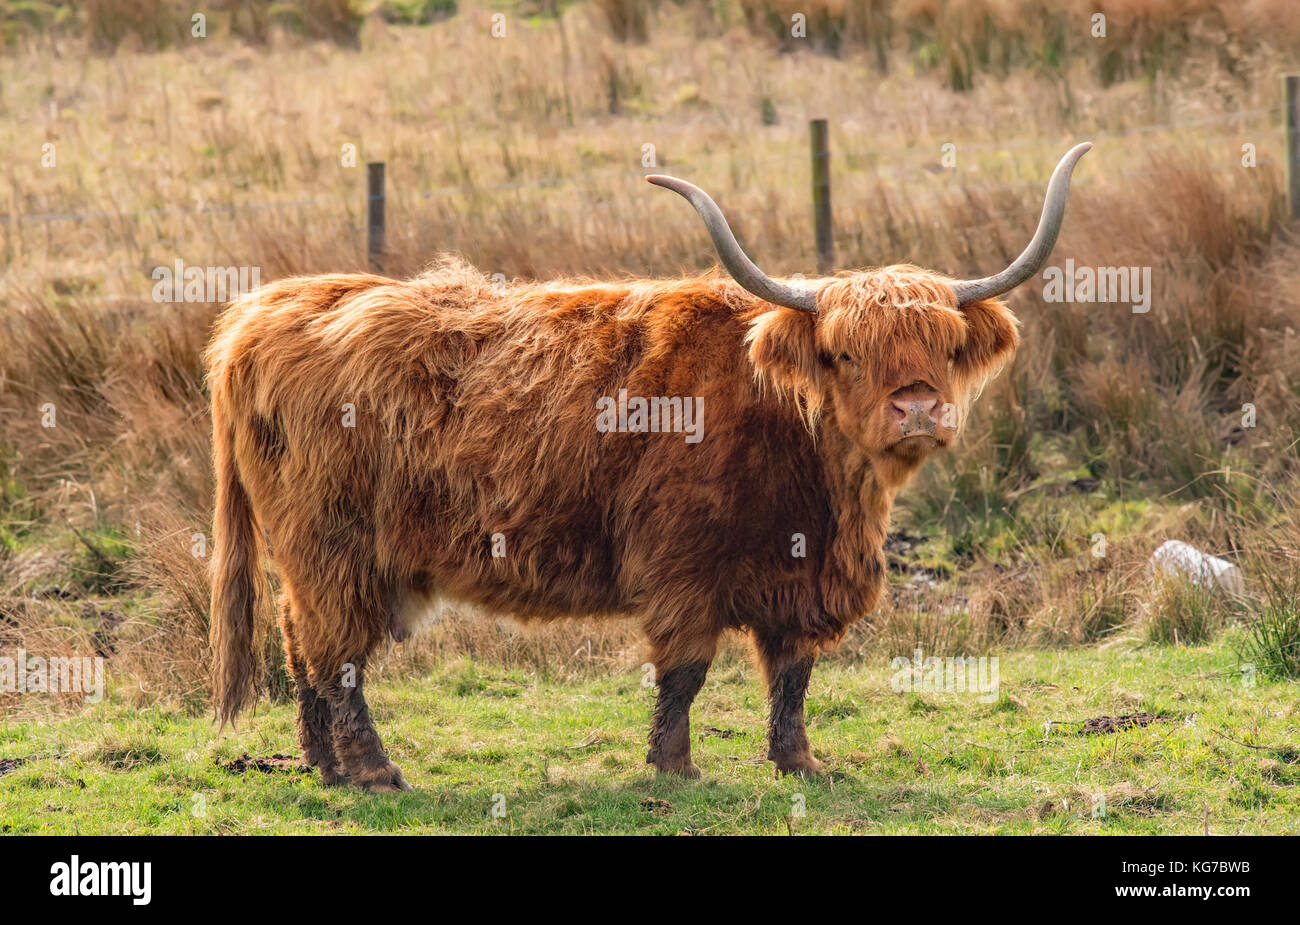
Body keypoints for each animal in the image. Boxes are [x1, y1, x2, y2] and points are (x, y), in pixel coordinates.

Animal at [207, 144, 1090, 790]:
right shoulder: (685, 563)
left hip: (317, 557)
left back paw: (322, 766)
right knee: (337, 654)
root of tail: (262, 312)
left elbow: (792, 674)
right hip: (335, 547)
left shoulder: (795, 575)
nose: (918, 409)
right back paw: (375, 771)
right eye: (845, 353)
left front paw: (800, 763)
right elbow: (686, 670)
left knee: (299, 642)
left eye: (944, 346)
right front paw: (675, 769)